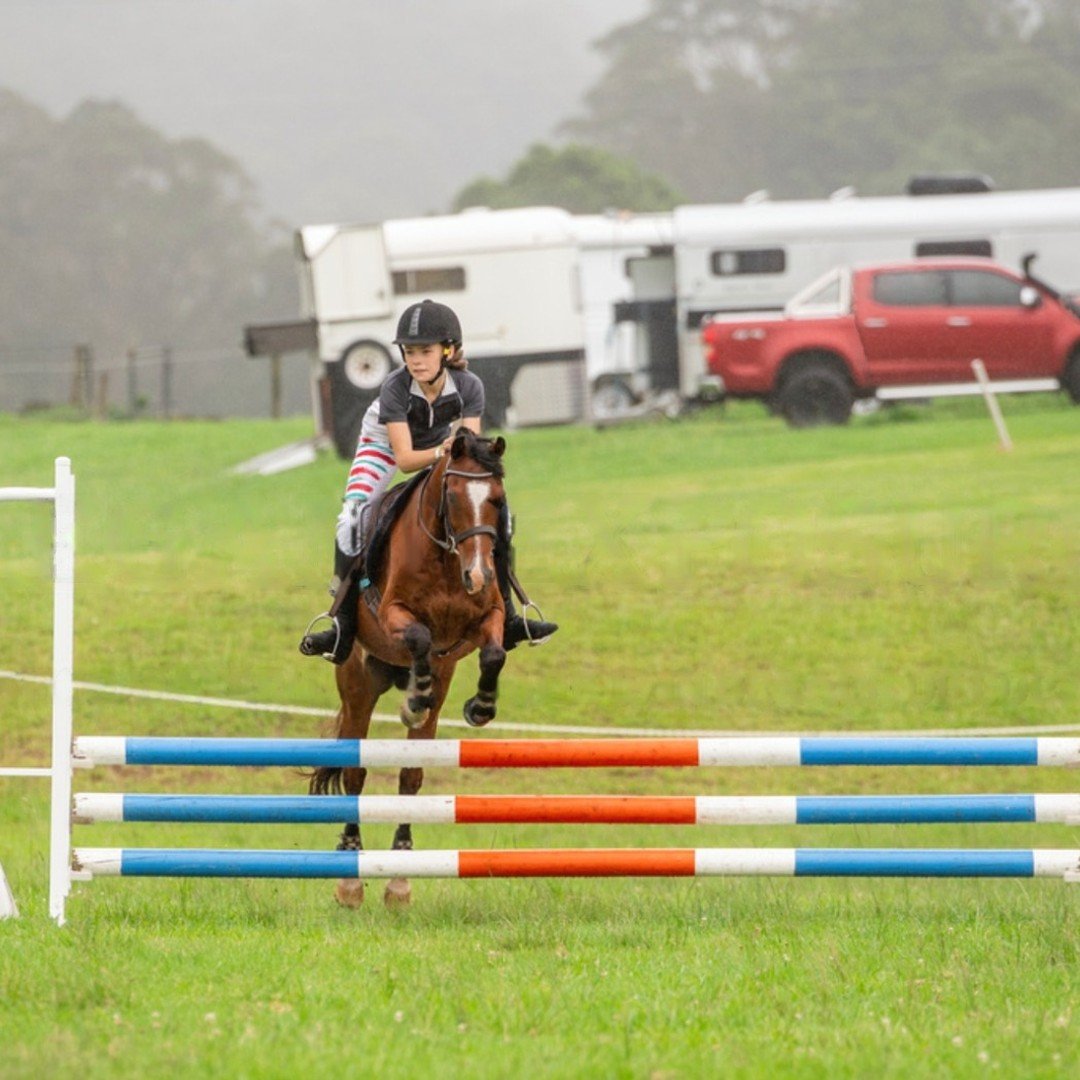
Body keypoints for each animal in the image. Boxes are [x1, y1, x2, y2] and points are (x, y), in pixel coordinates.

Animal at [309, 428, 509, 908]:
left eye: (497, 499)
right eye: (452, 496)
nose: (479, 575)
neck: (448, 561)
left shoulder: (487, 617)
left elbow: (494, 653)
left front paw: (481, 707)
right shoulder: (392, 613)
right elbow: (419, 636)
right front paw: (414, 700)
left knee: (410, 776)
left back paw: (399, 879)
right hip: (357, 684)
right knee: (355, 773)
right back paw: (350, 877)